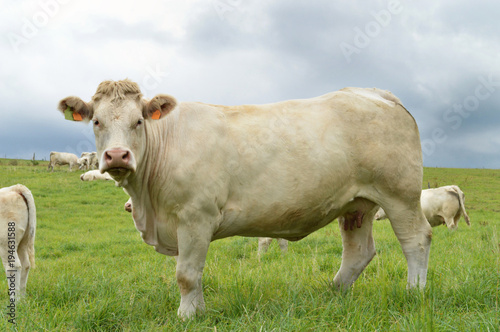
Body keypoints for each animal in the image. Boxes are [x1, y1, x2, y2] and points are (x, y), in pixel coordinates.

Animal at [58, 78, 432, 320]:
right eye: (96, 121)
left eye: (138, 121)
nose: (117, 156)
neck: (149, 207)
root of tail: (375, 93)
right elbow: (194, 274)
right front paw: (199, 311)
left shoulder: (195, 216)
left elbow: (186, 273)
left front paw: (187, 316)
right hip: (357, 204)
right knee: (359, 251)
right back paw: (334, 292)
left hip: (400, 194)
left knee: (416, 239)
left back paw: (414, 292)